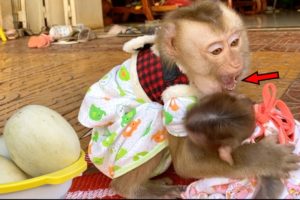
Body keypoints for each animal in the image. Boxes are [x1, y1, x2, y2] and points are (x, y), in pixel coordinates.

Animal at [78, 0, 300, 198]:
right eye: (217, 51)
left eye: (234, 43)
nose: (236, 63)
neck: (184, 69)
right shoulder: (177, 99)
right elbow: (187, 162)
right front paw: (267, 158)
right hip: (110, 154)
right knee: (151, 115)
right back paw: (134, 189)